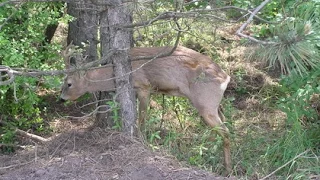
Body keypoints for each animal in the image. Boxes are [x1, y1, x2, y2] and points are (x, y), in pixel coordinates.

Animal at [60, 45, 231, 174]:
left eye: (69, 83)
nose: (61, 98)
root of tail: (225, 77)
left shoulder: (144, 87)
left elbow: (141, 119)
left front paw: (142, 142)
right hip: (215, 106)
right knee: (224, 125)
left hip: (205, 104)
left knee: (226, 132)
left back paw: (227, 169)